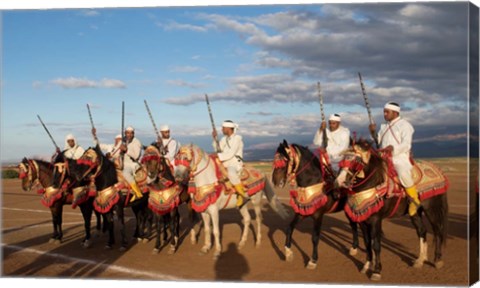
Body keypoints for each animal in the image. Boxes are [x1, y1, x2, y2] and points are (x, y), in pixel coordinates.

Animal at [272, 142, 358, 270]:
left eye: (285, 160)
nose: (275, 181)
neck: (312, 182)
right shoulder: (302, 211)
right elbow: (289, 228)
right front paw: (288, 253)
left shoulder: (318, 215)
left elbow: (315, 237)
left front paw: (313, 261)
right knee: (354, 226)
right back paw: (354, 248)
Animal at [334, 138, 450, 280]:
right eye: (343, 159)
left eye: (357, 161)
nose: (339, 181)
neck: (373, 183)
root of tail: (438, 171)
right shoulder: (362, 220)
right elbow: (367, 244)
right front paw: (366, 266)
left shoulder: (376, 220)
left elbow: (376, 245)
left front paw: (377, 271)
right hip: (415, 212)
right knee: (422, 231)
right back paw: (420, 260)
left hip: (431, 209)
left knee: (437, 231)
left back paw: (437, 260)